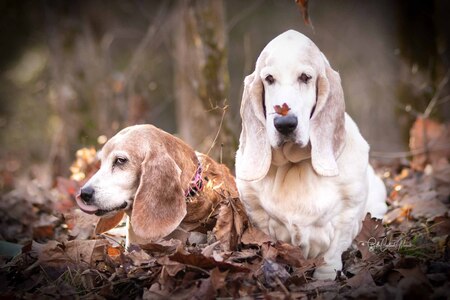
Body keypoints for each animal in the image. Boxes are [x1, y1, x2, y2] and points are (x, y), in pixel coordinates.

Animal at [236, 29, 386, 278]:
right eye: (269, 79)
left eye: (305, 77)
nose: (285, 123)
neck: (294, 164)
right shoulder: (256, 211)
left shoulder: (349, 213)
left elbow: (331, 255)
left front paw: (324, 279)